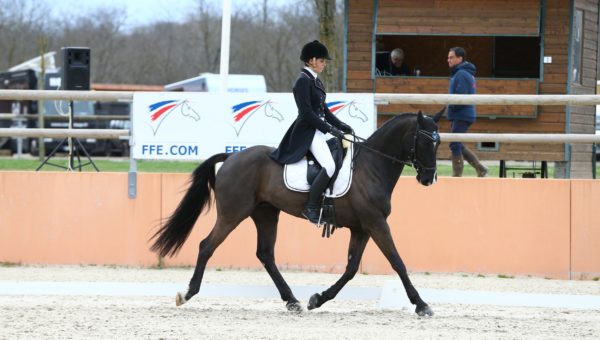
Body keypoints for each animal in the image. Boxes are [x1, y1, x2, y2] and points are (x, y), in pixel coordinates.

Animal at [150, 110, 440, 318]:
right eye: (426, 142)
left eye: (438, 144)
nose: (428, 178)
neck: (371, 167)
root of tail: (231, 158)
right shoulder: (376, 223)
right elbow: (397, 262)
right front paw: (421, 305)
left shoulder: (362, 227)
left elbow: (351, 268)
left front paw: (318, 299)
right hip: (233, 214)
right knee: (207, 246)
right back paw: (187, 294)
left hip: (266, 214)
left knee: (266, 255)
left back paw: (293, 302)